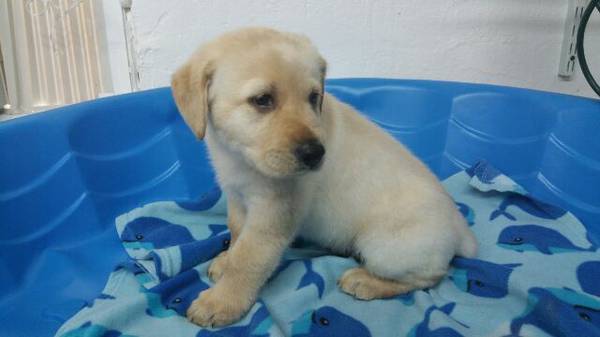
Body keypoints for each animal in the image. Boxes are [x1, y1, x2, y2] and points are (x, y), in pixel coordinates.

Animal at [171, 26, 476, 326]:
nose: (315, 153)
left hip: (385, 249)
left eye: (313, 97)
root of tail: (460, 228)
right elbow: (236, 233)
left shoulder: (272, 215)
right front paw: (226, 261)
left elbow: (247, 259)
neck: (240, 158)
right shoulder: (237, 196)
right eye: (262, 100)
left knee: (430, 277)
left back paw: (366, 281)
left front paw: (221, 301)